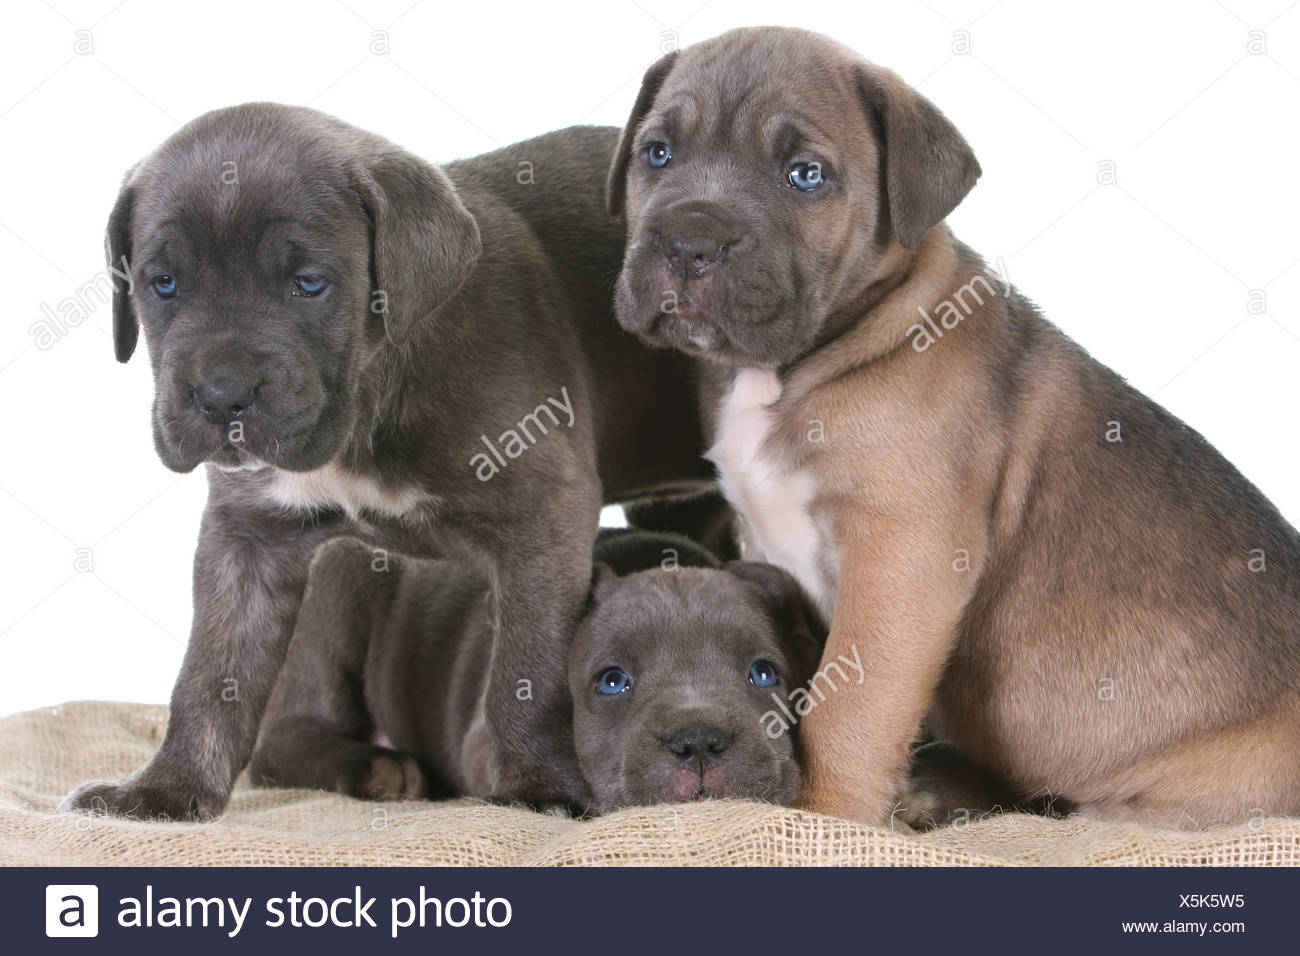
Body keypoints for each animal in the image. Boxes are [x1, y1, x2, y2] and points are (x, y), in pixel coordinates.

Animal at [61, 106, 717, 822]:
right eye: (163, 284)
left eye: (309, 284)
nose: (221, 394)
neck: (366, 401)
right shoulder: (247, 534)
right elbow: (212, 674)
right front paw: (165, 791)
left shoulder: (544, 515)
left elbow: (528, 671)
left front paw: (539, 790)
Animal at [252, 528, 821, 811]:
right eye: (612, 682)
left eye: (764, 674)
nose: (699, 741)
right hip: (338, 590)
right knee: (280, 745)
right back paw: (382, 768)